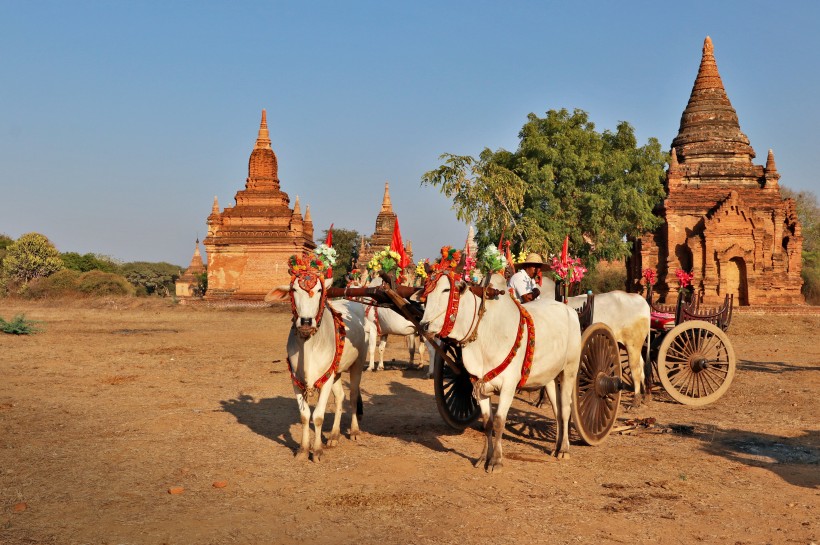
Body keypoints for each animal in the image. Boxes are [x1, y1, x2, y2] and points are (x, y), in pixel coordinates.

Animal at [264, 274, 366, 462]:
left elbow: (318, 416)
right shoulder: (296, 380)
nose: (305, 321)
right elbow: (305, 416)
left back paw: (355, 431)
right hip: (336, 372)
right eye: (294, 289)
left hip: (358, 363)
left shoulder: (326, 380)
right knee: (340, 397)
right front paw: (303, 450)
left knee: (353, 396)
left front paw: (317, 451)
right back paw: (334, 435)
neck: (308, 346)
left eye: (319, 290)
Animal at [422, 272, 584, 472]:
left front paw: (496, 460)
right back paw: (556, 446)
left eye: (446, 290)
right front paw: (483, 457)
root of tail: (570, 310)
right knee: (557, 410)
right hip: (550, 379)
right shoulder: (480, 387)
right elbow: (487, 422)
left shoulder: (508, 386)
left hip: (569, 371)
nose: (424, 325)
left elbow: (499, 421)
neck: (484, 332)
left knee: (566, 410)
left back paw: (564, 449)